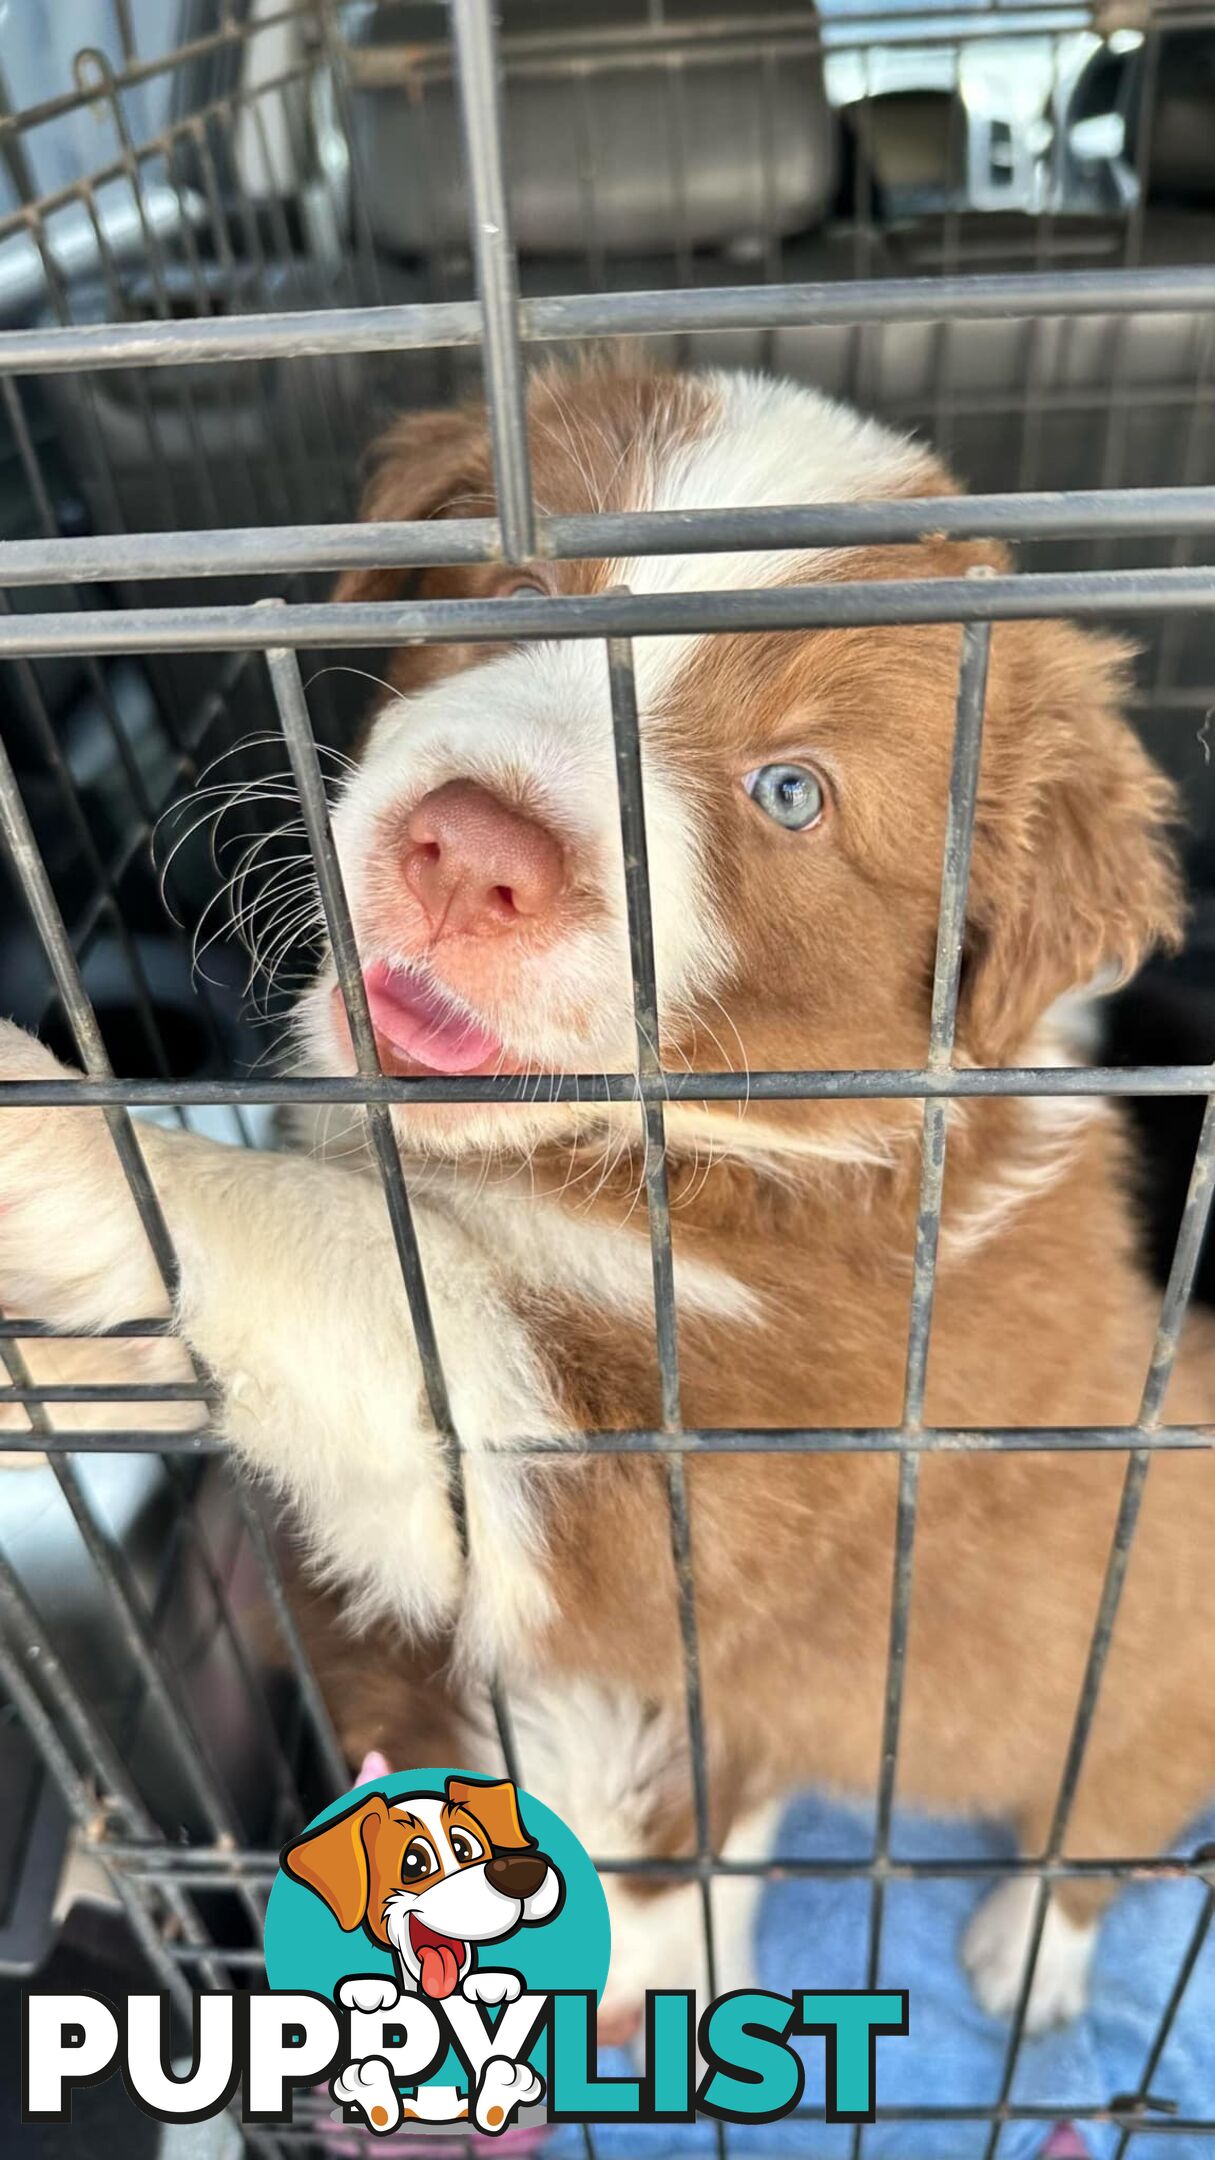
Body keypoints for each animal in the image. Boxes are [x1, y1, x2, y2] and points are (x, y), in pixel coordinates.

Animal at [2, 367, 1210, 2039]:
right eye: (510, 594)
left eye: (788, 793)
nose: (469, 854)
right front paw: (62, 1369)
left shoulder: (651, 1509)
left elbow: (342, 1264)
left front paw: (43, 1135)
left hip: (1135, 1685)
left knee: (1098, 1824)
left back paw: (1024, 1948)